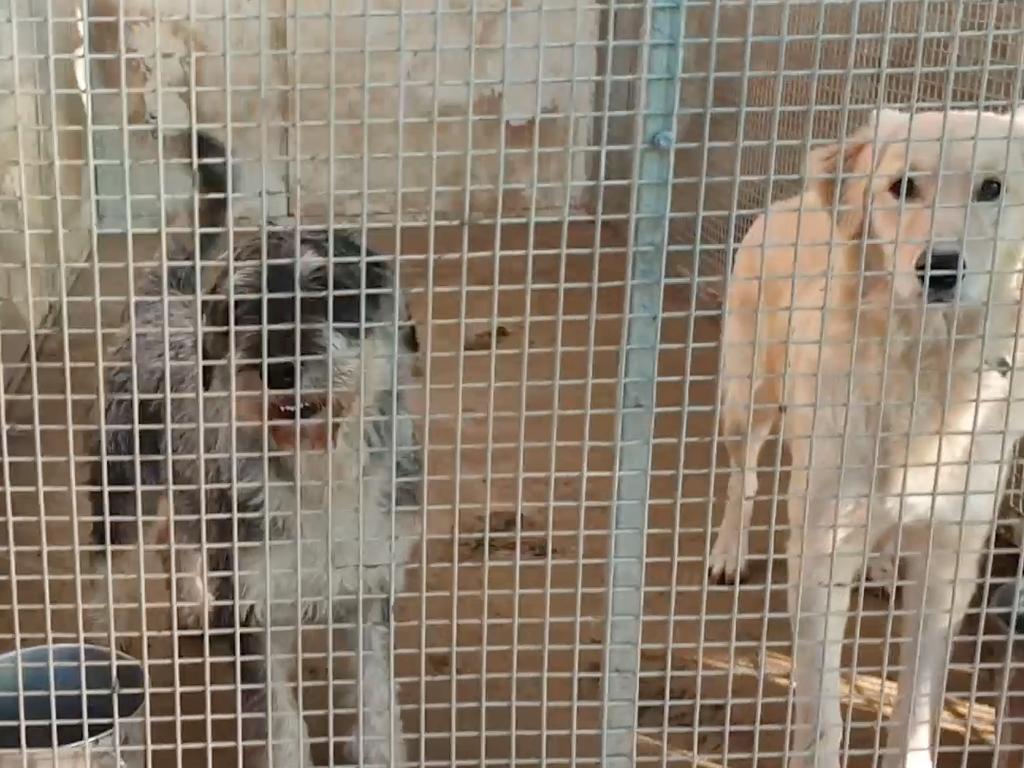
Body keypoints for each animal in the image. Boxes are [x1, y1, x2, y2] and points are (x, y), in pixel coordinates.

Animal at [86, 135, 421, 765]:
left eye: (329, 290)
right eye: (245, 306)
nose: (279, 369)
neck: (318, 473)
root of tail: (167, 296)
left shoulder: (370, 592)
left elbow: (376, 702)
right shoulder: (252, 610)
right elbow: (284, 725)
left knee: (173, 537)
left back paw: (191, 600)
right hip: (123, 486)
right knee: (106, 568)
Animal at [712, 108, 1024, 768]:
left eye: (992, 188)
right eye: (902, 186)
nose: (940, 268)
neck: (924, 365)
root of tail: (793, 199)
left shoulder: (950, 562)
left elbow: (919, 701)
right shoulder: (820, 550)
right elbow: (823, 709)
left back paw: (882, 564)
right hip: (747, 399)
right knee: (743, 478)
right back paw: (729, 550)